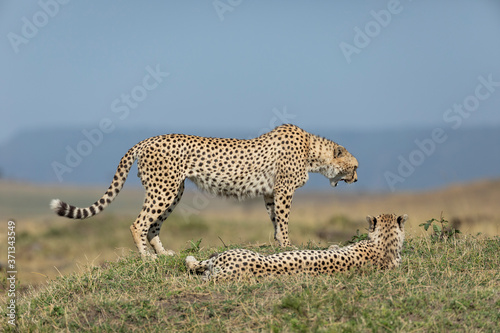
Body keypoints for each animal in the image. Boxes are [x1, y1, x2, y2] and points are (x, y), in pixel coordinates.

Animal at [49, 124, 360, 256]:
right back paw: (147, 257)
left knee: (153, 225)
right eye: (355, 167)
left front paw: (276, 242)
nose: (357, 180)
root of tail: (149, 138)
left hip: (174, 191)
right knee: (139, 223)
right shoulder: (283, 190)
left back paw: (164, 253)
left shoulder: (270, 193)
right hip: (164, 189)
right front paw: (287, 245)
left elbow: (274, 219)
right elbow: (283, 220)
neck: (312, 152)